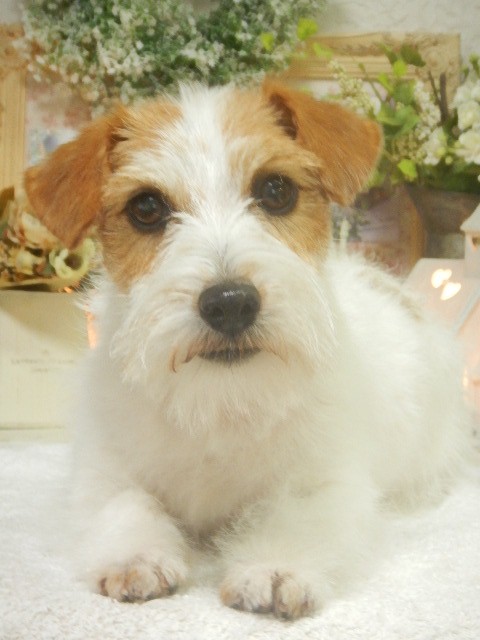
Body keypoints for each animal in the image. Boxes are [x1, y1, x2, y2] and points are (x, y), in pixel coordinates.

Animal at [25, 82, 471, 619]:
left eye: (276, 191)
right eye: (146, 208)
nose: (230, 303)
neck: (221, 400)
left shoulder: (325, 483)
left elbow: (294, 516)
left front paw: (273, 567)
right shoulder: (105, 471)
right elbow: (126, 503)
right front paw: (137, 555)